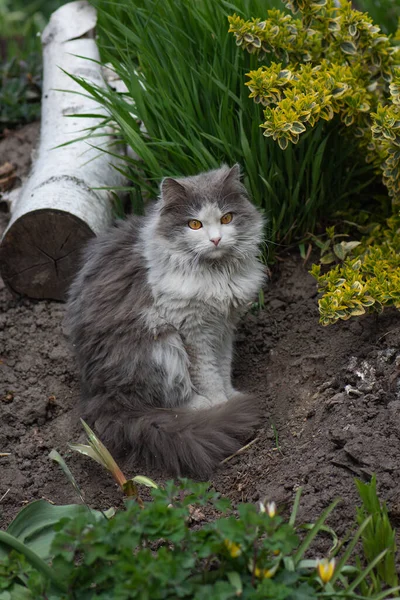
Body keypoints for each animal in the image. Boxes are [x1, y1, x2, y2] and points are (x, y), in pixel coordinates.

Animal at [65, 164, 266, 478]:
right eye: (194, 224)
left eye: (226, 218)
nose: (216, 239)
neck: (217, 273)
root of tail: (99, 396)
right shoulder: (193, 331)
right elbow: (208, 375)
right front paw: (221, 405)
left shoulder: (223, 328)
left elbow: (223, 367)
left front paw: (231, 395)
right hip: (162, 347)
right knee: (170, 400)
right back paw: (205, 410)